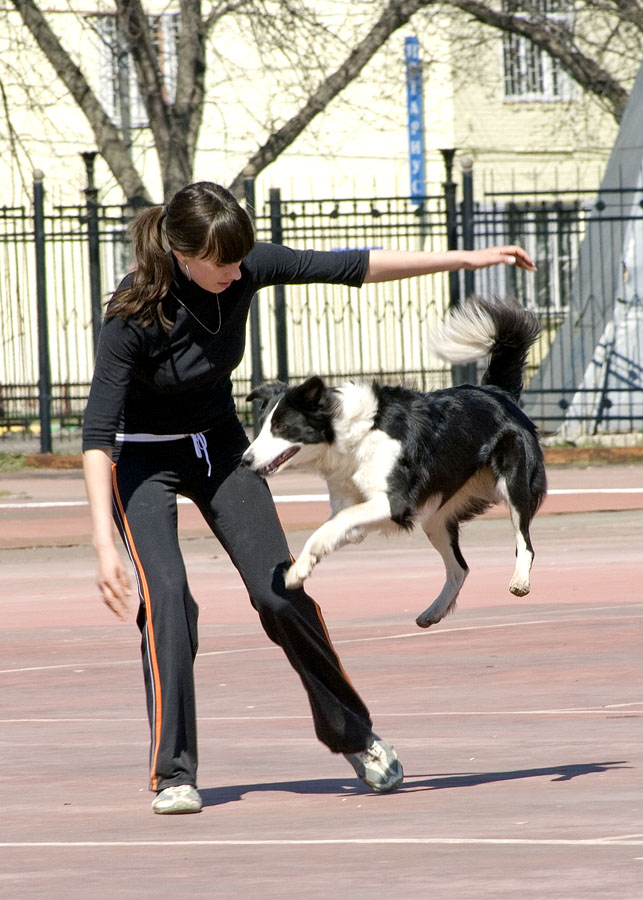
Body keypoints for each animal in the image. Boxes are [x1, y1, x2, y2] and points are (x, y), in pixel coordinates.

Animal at [244, 298, 544, 628]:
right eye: (263, 426)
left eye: (282, 428)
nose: (245, 460)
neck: (352, 433)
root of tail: (496, 392)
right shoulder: (354, 506)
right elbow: (332, 527)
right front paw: (300, 569)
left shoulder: (394, 503)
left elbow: (338, 521)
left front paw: (303, 565)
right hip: (436, 518)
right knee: (460, 568)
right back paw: (433, 611)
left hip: (513, 486)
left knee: (525, 543)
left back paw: (520, 581)